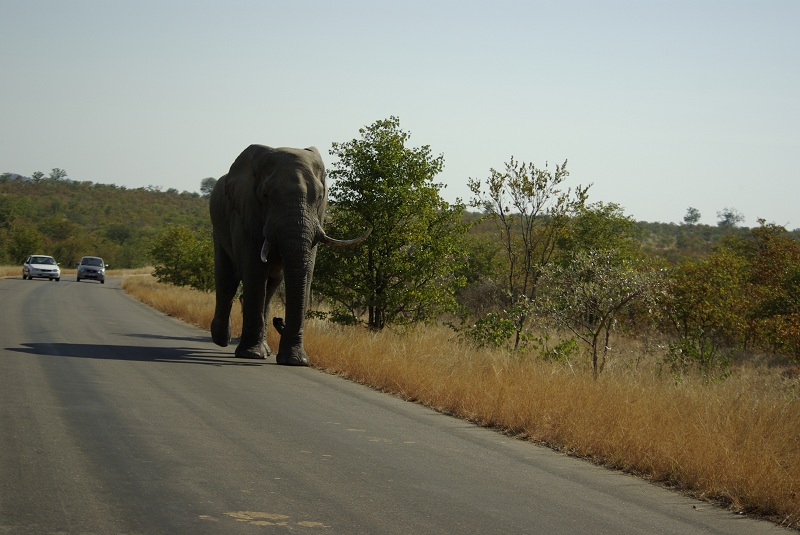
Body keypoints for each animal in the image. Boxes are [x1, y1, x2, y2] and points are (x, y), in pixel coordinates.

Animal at [206, 144, 368, 366]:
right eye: (266, 195)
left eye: (320, 197)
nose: (279, 320)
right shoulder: (245, 214)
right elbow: (254, 271)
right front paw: (251, 355)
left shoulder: (317, 221)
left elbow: (306, 273)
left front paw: (295, 361)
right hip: (219, 229)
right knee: (227, 280)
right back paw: (222, 340)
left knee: (271, 287)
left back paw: (262, 347)